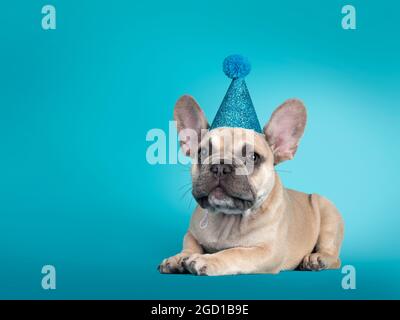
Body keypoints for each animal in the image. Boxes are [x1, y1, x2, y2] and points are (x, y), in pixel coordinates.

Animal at [159, 95, 344, 276]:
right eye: (202, 153)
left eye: (253, 157)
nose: (220, 166)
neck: (228, 219)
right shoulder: (191, 234)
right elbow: (190, 246)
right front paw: (178, 258)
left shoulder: (267, 251)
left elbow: (235, 252)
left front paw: (206, 260)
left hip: (327, 214)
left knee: (334, 257)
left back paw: (317, 259)